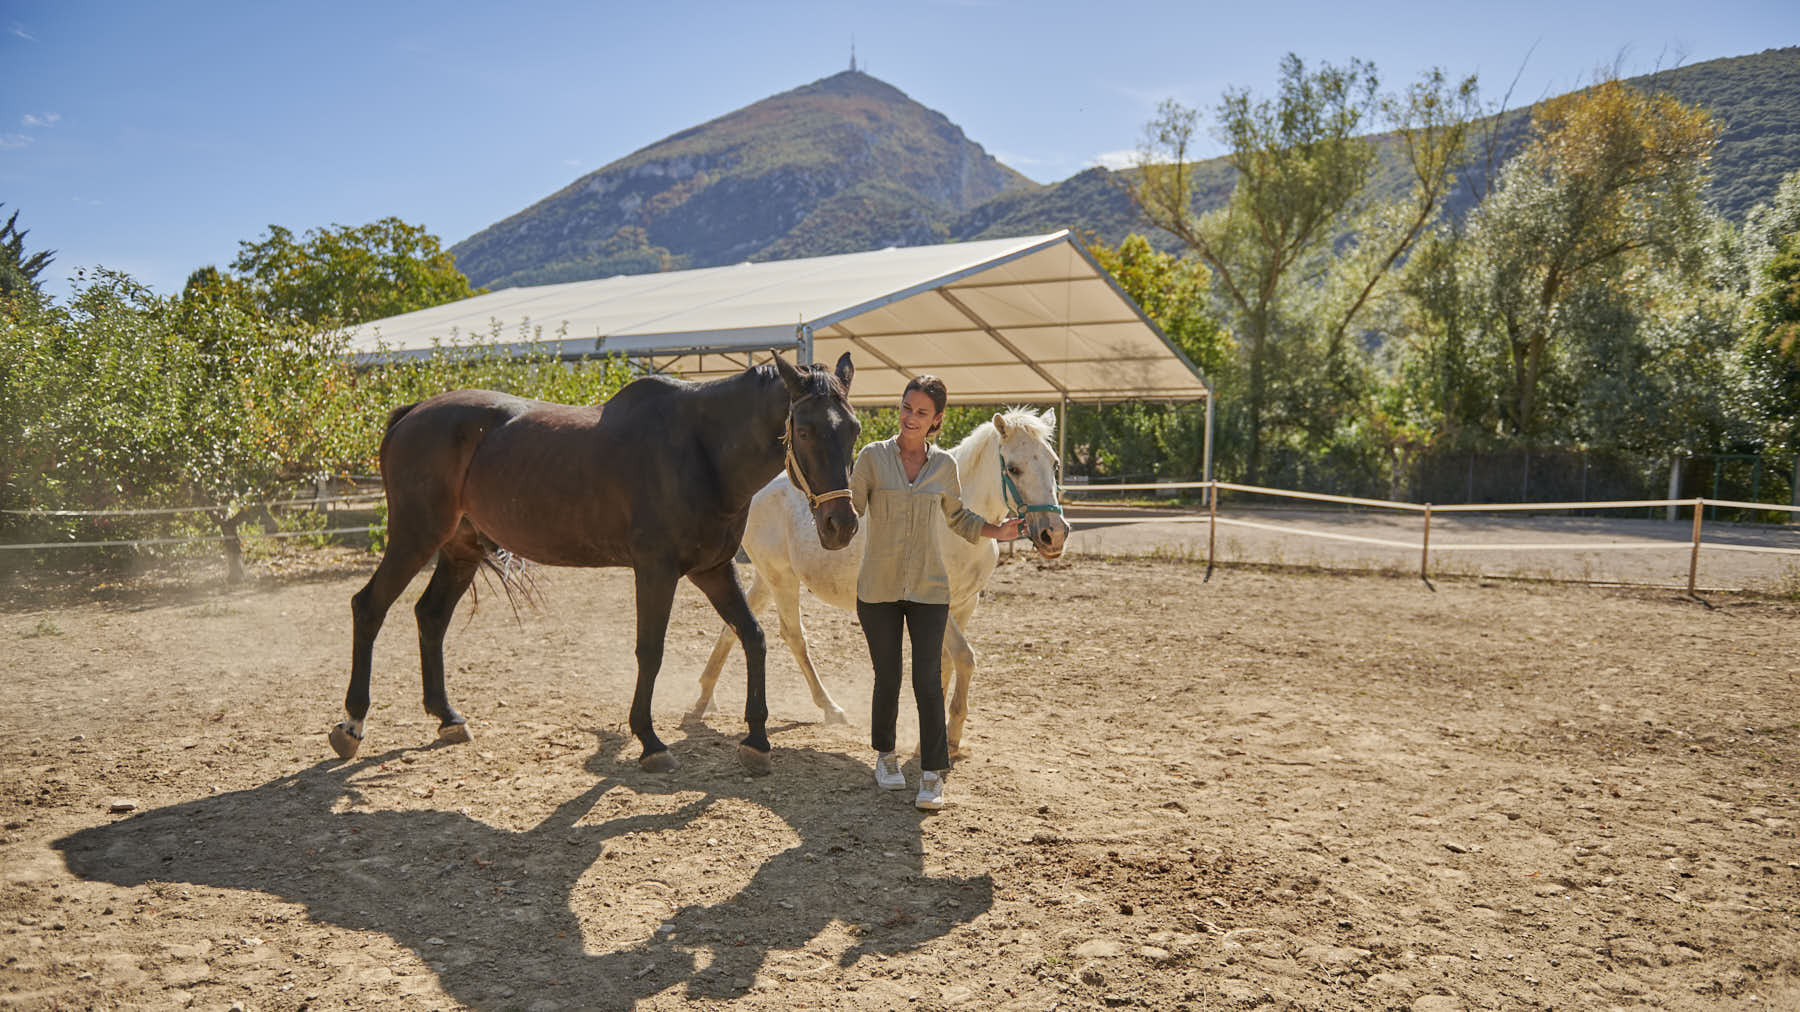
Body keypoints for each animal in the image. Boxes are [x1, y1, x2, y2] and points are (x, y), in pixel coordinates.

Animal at [330, 352, 861, 776]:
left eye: (854, 429)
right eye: (805, 429)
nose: (841, 525)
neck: (700, 448)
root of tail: (411, 414)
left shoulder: (712, 569)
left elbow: (753, 636)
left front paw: (756, 740)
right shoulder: (656, 571)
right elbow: (651, 651)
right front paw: (650, 741)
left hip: (461, 548)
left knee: (431, 616)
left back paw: (447, 717)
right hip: (415, 537)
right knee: (368, 607)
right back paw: (352, 724)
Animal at [689, 408, 1069, 757]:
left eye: (1054, 464)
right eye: (1014, 468)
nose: (1054, 535)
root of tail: (759, 491)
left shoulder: (965, 604)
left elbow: (943, 662)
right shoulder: (936, 603)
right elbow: (964, 657)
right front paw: (951, 738)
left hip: (767, 580)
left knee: (735, 626)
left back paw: (704, 699)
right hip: (781, 579)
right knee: (794, 637)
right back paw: (831, 708)